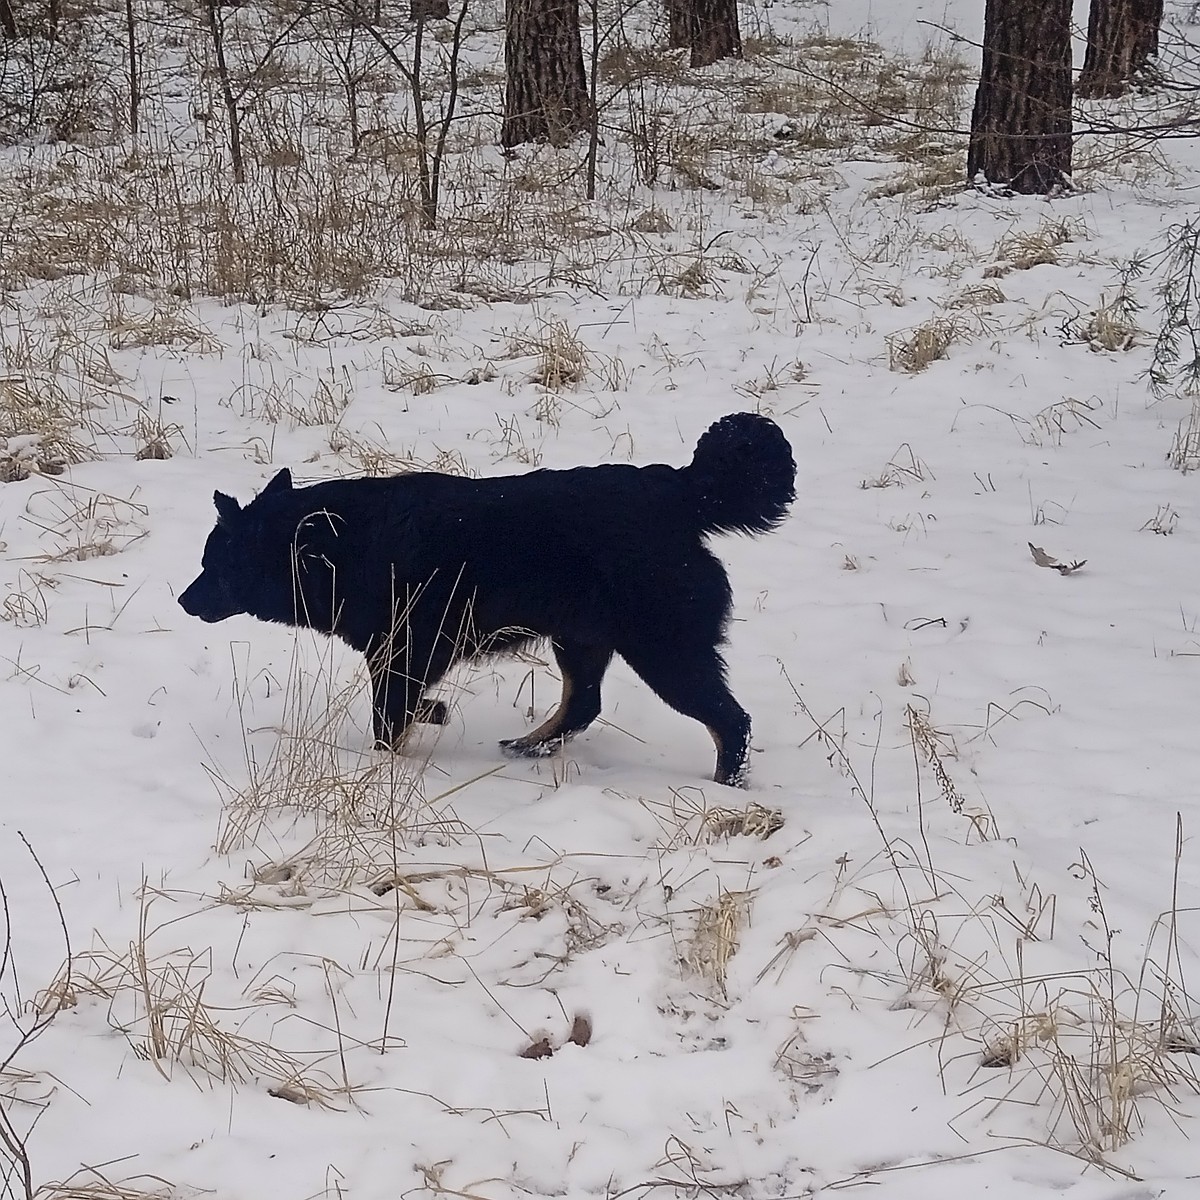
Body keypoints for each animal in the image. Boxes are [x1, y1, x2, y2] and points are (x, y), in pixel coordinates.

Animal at [177, 412, 792, 787]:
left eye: (214, 565)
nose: (183, 600)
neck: (332, 545)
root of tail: (679, 491)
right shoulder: (400, 655)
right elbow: (397, 710)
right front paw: (430, 717)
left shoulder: (407, 652)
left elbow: (389, 717)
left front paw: (400, 747)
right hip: (581, 638)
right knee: (582, 704)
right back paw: (527, 747)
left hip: (665, 650)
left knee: (730, 721)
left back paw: (725, 786)